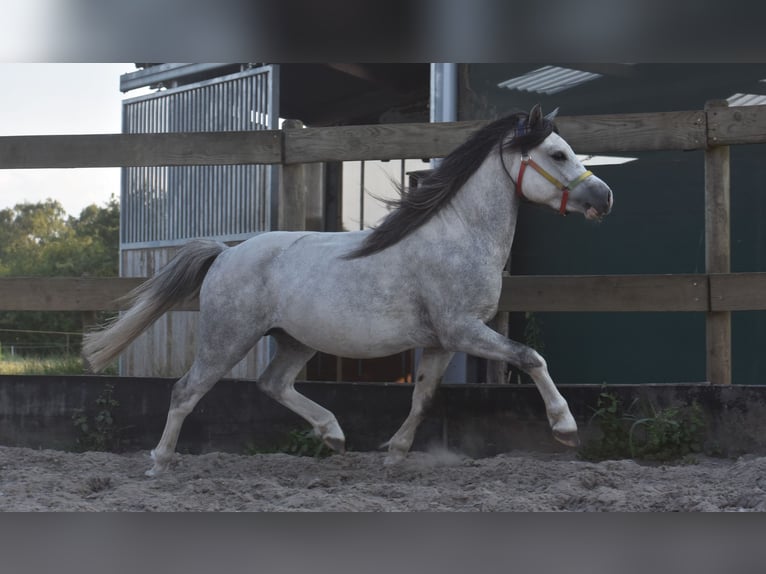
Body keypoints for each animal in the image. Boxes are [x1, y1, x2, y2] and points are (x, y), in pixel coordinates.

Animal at [83, 104, 613, 476]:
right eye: (557, 154)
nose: (604, 197)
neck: (459, 236)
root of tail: (226, 253)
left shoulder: (442, 342)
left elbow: (423, 398)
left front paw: (395, 455)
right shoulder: (463, 330)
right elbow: (530, 357)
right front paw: (565, 429)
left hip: (295, 340)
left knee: (272, 384)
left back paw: (334, 436)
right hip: (227, 338)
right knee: (186, 391)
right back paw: (159, 463)